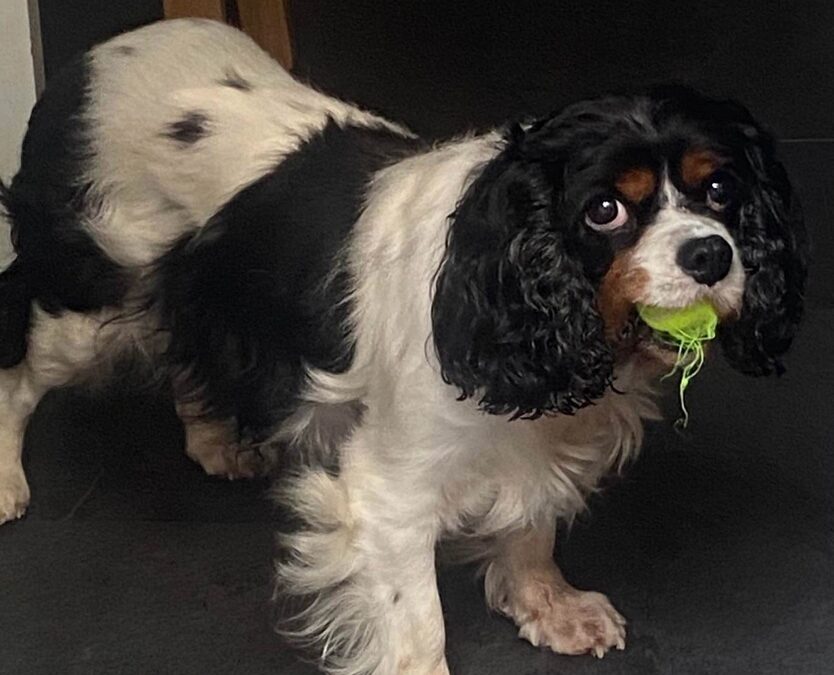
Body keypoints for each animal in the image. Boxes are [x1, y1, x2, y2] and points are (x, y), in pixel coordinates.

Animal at [1, 18, 808, 672]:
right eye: (605, 210)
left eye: (722, 190)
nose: (711, 255)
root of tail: (80, 65)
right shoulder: (388, 492)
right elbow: (417, 622)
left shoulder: (536, 436)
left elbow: (532, 526)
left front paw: (549, 605)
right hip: (87, 303)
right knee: (19, 377)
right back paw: (8, 483)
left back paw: (214, 440)